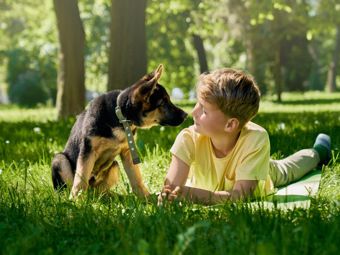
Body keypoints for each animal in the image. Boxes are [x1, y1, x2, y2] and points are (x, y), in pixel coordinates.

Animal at [51, 64, 187, 199]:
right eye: (163, 103)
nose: (185, 115)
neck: (120, 117)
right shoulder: (88, 150)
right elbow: (80, 179)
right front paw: (77, 201)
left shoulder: (128, 151)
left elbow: (136, 178)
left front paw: (146, 198)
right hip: (59, 160)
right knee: (71, 186)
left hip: (114, 166)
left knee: (98, 190)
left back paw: (109, 196)